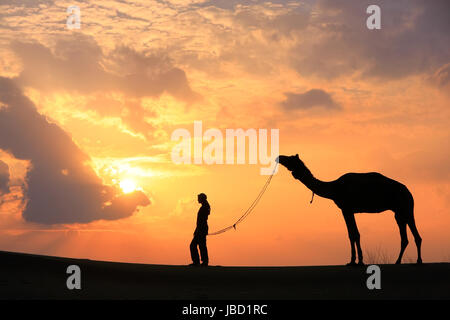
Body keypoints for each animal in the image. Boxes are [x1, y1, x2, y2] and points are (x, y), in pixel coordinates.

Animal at [278, 154, 422, 264]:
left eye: (290, 159)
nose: (279, 157)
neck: (334, 188)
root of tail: (409, 192)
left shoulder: (347, 208)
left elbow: (354, 234)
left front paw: (356, 261)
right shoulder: (347, 210)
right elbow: (352, 234)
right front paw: (354, 261)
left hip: (406, 207)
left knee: (414, 236)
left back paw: (417, 261)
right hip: (399, 212)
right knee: (405, 237)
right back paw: (400, 261)